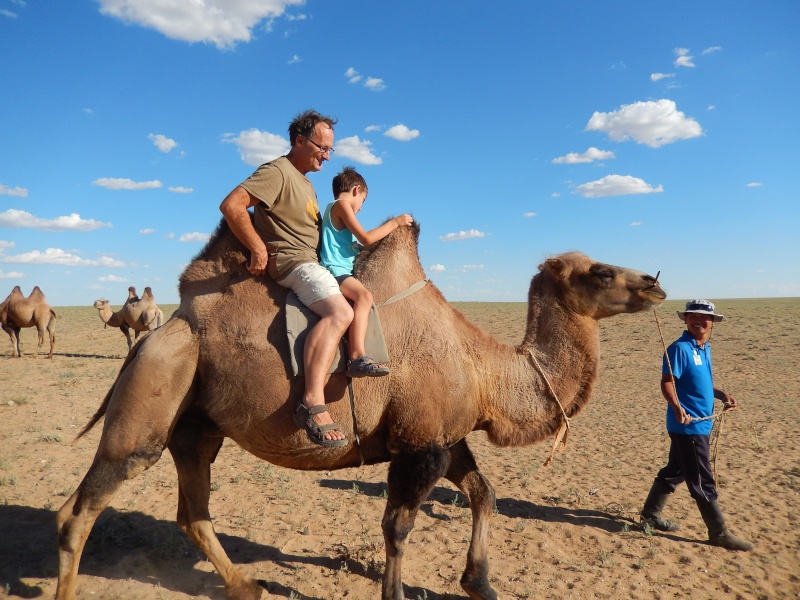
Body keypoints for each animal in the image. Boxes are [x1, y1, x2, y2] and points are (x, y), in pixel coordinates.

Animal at [56, 219, 664, 600]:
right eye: (601, 272)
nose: (655, 283)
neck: (483, 368)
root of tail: (167, 328)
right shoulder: (419, 447)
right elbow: (398, 525)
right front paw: (400, 593)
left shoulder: (445, 438)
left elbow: (483, 495)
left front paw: (481, 584)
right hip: (155, 393)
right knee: (81, 510)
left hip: (196, 426)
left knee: (192, 512)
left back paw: (249, 587)